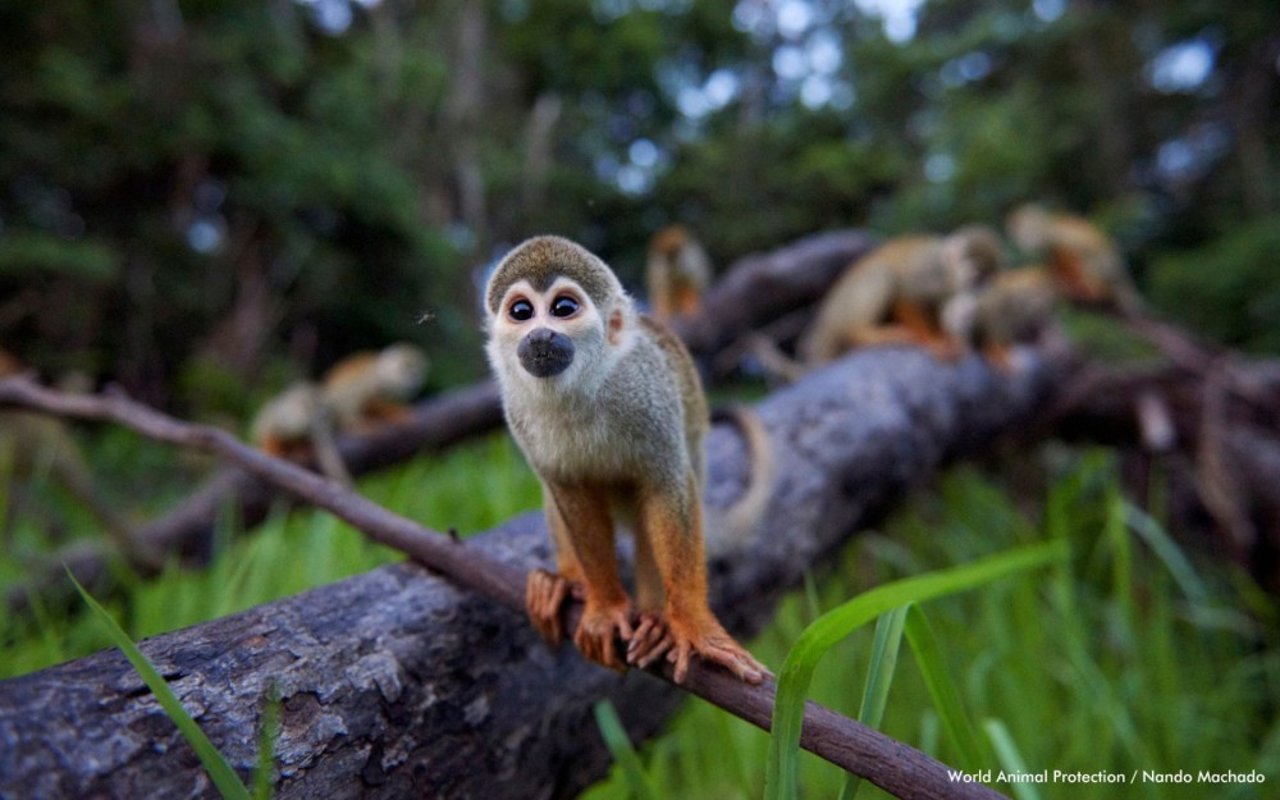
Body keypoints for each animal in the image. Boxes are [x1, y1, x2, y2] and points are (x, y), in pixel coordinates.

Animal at [483, 234, 768, 680]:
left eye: (563, 309)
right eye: (521, 312)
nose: (541, 335)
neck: (577, 388)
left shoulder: (648, 392)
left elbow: (665, 486)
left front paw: (694, 625)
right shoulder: (517, 411)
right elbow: (571, 494)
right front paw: (603, 606)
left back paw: (656, 618)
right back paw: (568, 581)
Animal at [998, 206, 1141, 312]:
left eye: (1026, 229)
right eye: (1016, 232)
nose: (1023, 238)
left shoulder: (1051, 235)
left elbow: (1067, 250)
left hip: (1105, 268)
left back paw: (1092, 290)